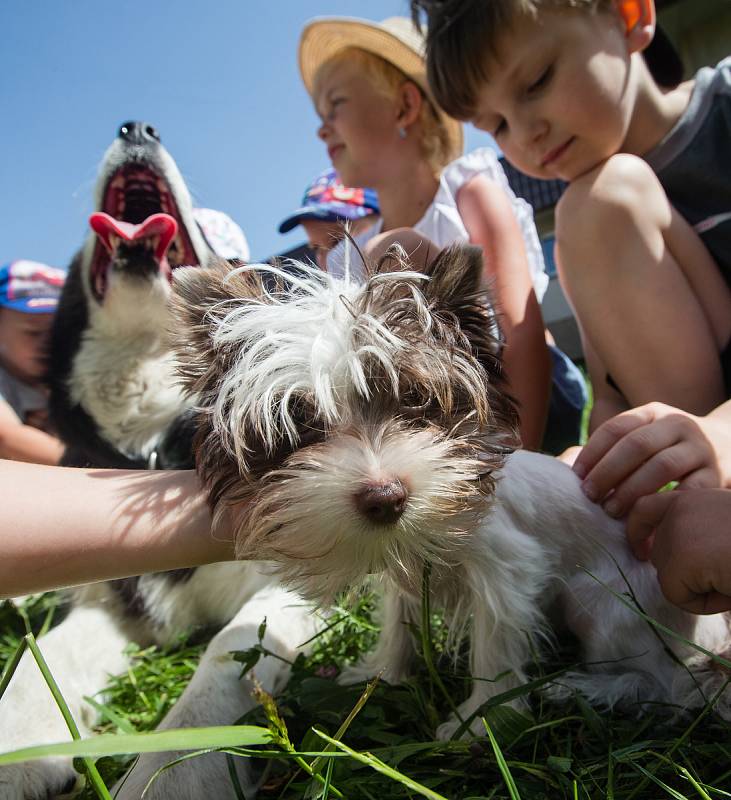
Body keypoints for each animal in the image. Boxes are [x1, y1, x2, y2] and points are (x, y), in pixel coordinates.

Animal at [0, 123, 312, 800]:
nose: (137, 127)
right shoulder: (112, 600)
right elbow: (35, 665)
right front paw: (18, 751)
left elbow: (227, 653)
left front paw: (170, 773)